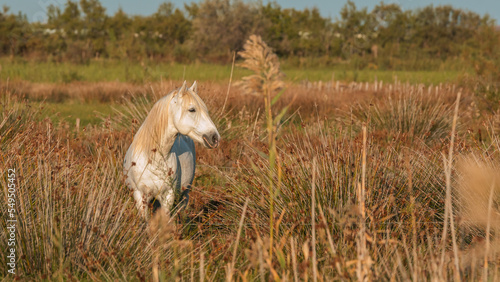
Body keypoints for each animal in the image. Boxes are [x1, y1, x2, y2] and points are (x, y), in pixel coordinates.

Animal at [123, 81, 219, 218]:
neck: (152, 160)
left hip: (184, 195)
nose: (215, 138)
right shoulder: (140, 196)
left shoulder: (168, 196)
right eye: (192, 109)